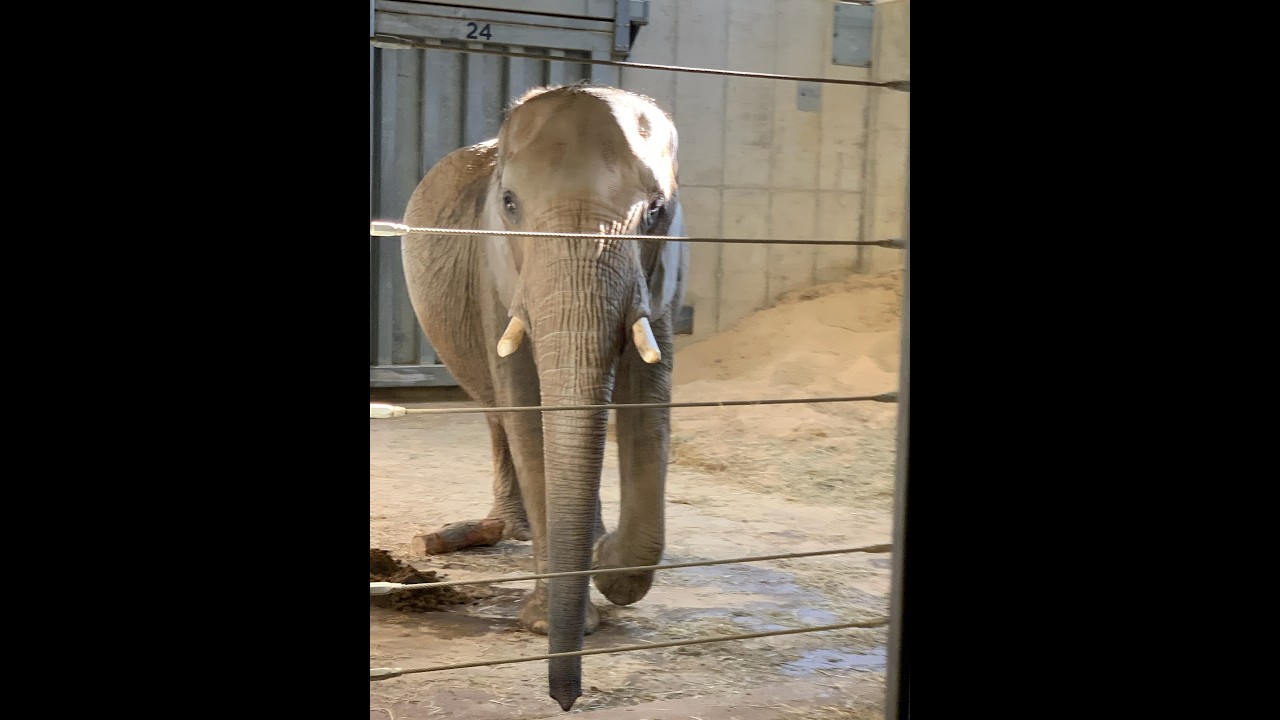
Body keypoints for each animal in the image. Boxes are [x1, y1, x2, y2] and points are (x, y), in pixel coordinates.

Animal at [399, 83, 687, 711]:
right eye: (509, 205)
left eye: (657, 210)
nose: (565, 698)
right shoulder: (493, 273)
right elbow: (525, 407)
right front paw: (549, 622)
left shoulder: (663, 276)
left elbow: (649, 397)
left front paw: (604, 563)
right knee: (495, 411)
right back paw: (512, 530)